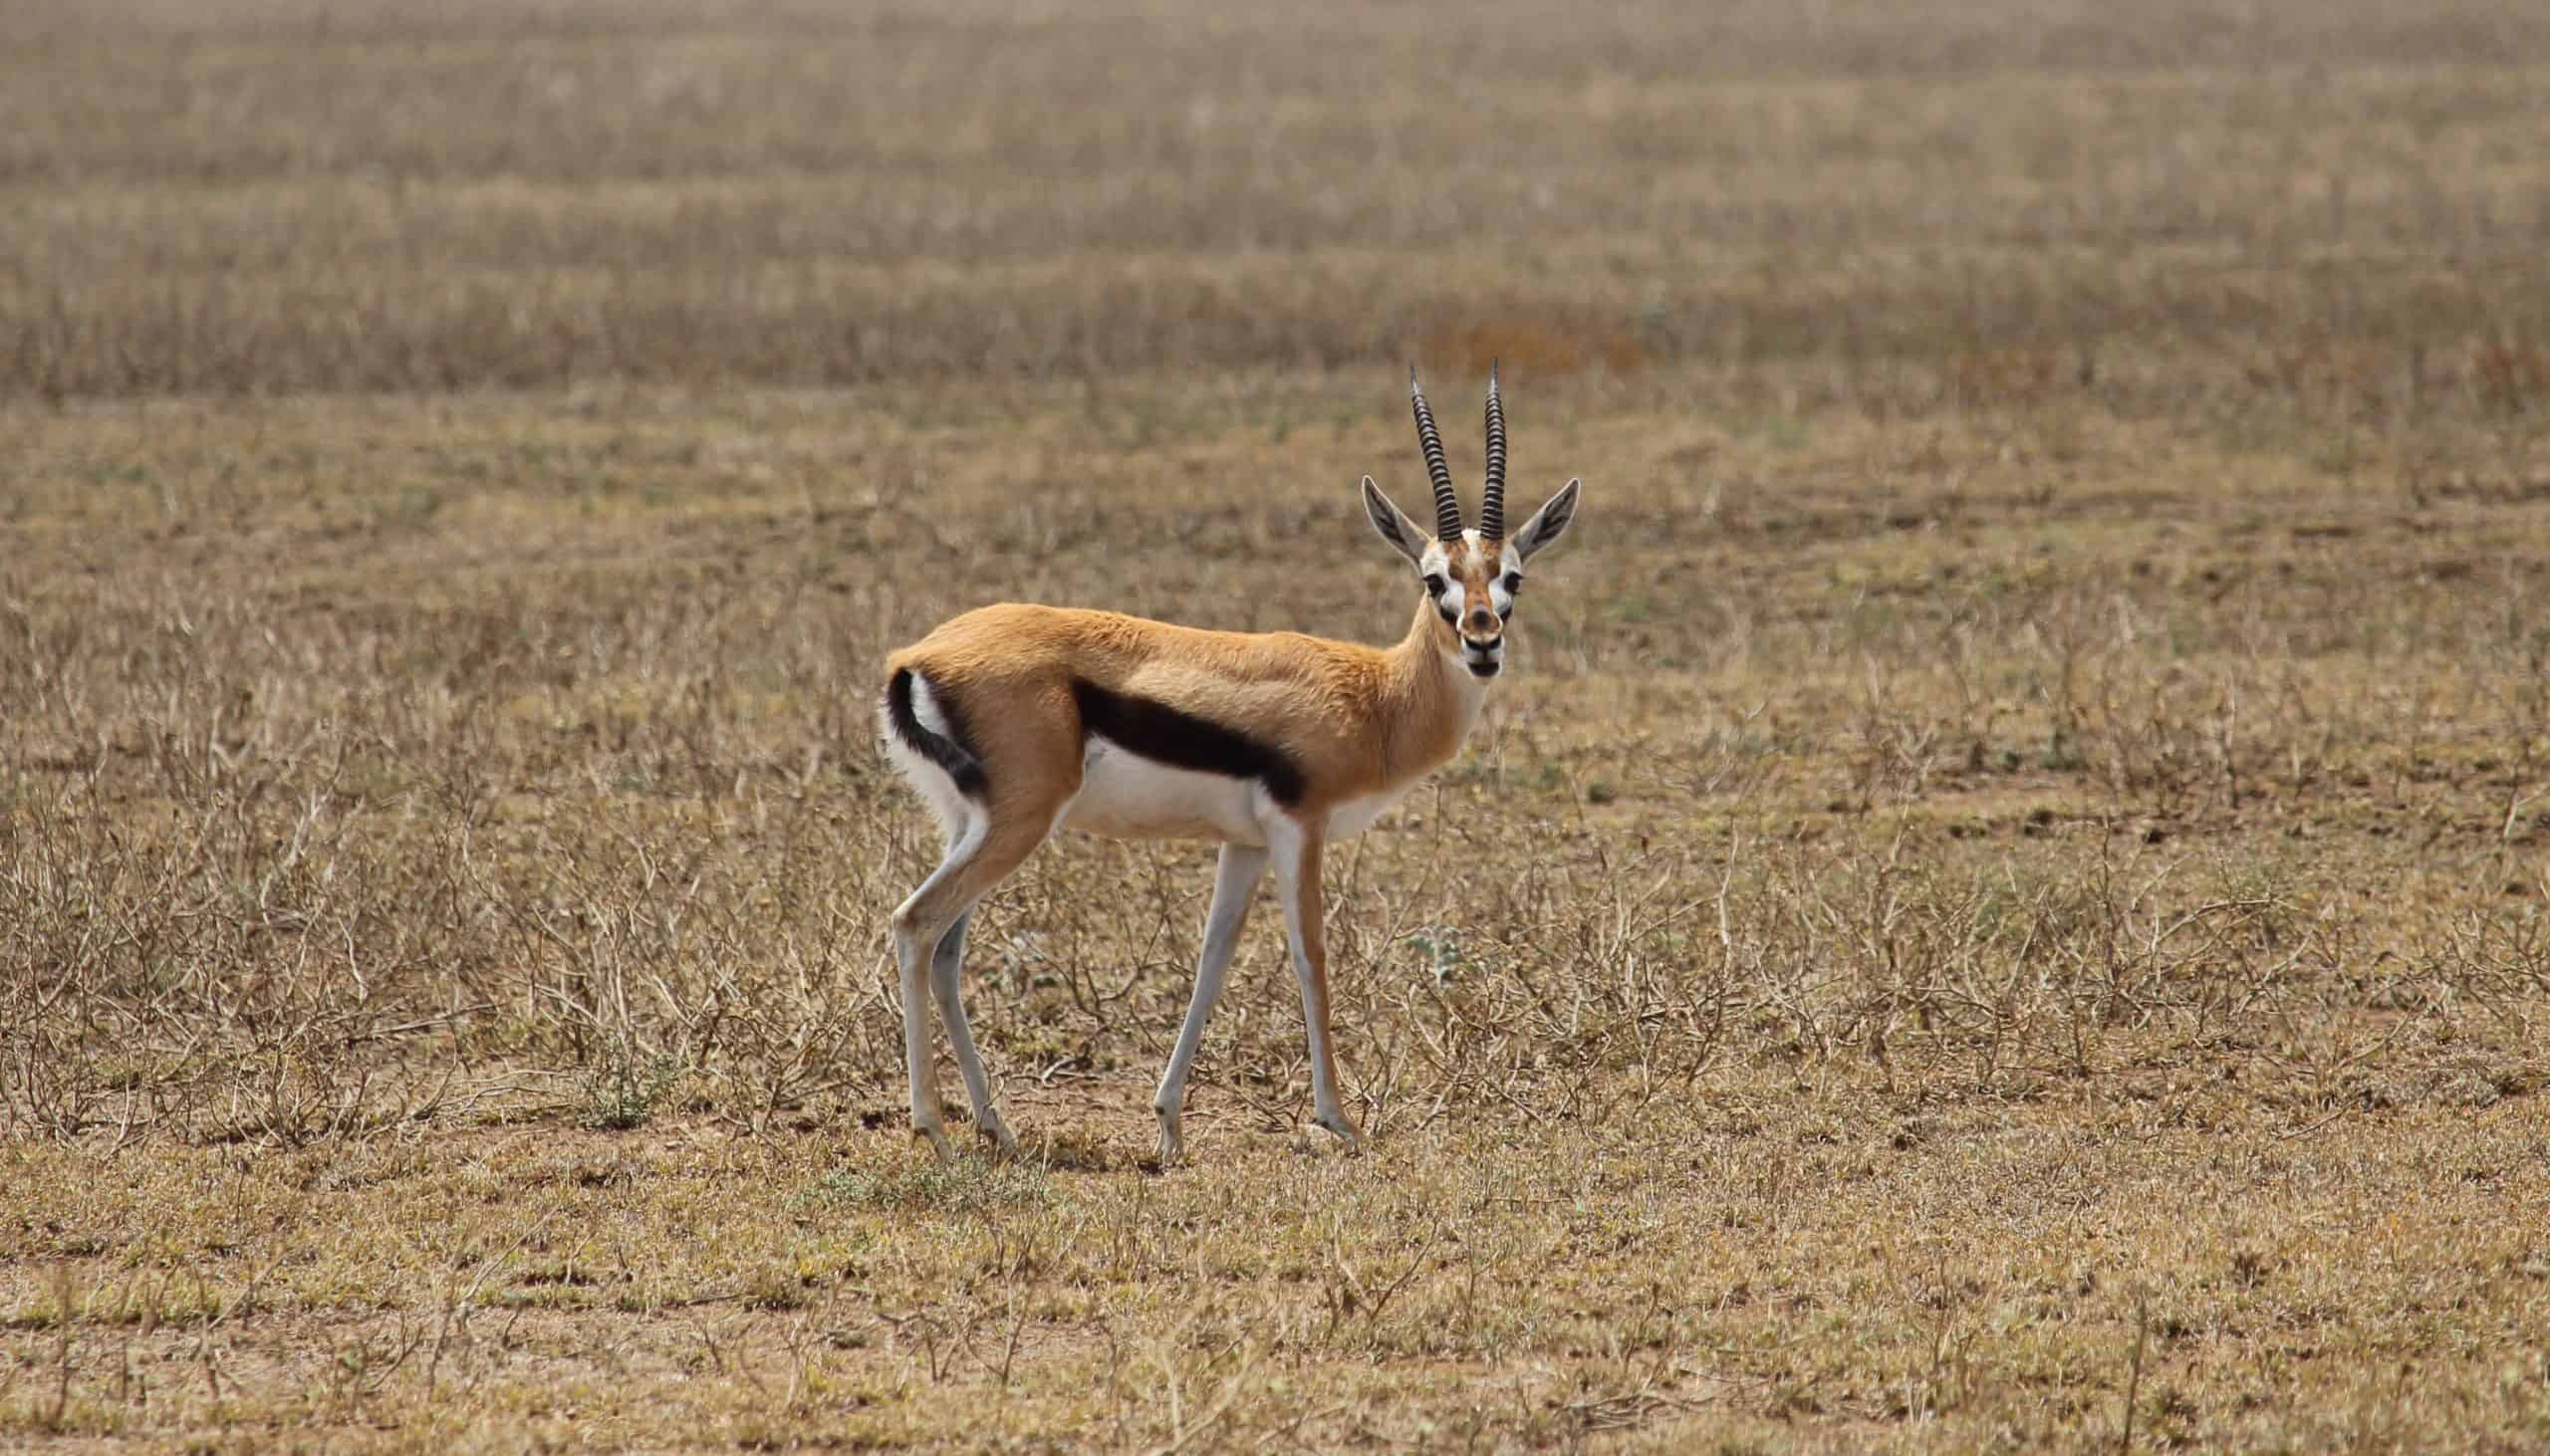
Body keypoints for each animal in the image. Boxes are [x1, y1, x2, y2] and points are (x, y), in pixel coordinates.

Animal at [878, 368, 1581, 1161]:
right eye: (1435, 579)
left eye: (1512, 578)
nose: (1482, 643)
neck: (1376, 697)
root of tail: (918, 657)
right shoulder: (1298, 826)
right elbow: (1311, 957)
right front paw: (1338, 1120)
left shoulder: (1242, 845)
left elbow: (1212, 964)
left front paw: (1169, 1125)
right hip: (1020, 821)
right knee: (915, 924)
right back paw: (934, 1128)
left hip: (972, 822)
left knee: (946, 951)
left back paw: (998, 1125)